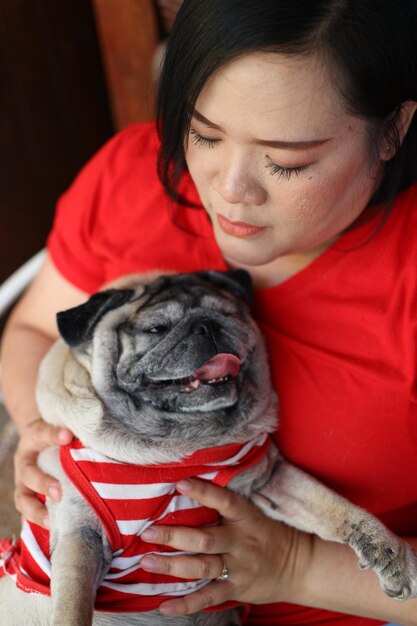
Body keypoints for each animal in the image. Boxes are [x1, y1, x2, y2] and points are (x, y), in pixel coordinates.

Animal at [0, 270, 416, 624]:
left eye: (228, 313)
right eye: (156, 329)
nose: (207, 325)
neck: (178, 446)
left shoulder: (268, 479)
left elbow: (335, 506)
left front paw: (390, 551)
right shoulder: (80, 537)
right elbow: (72, 606)